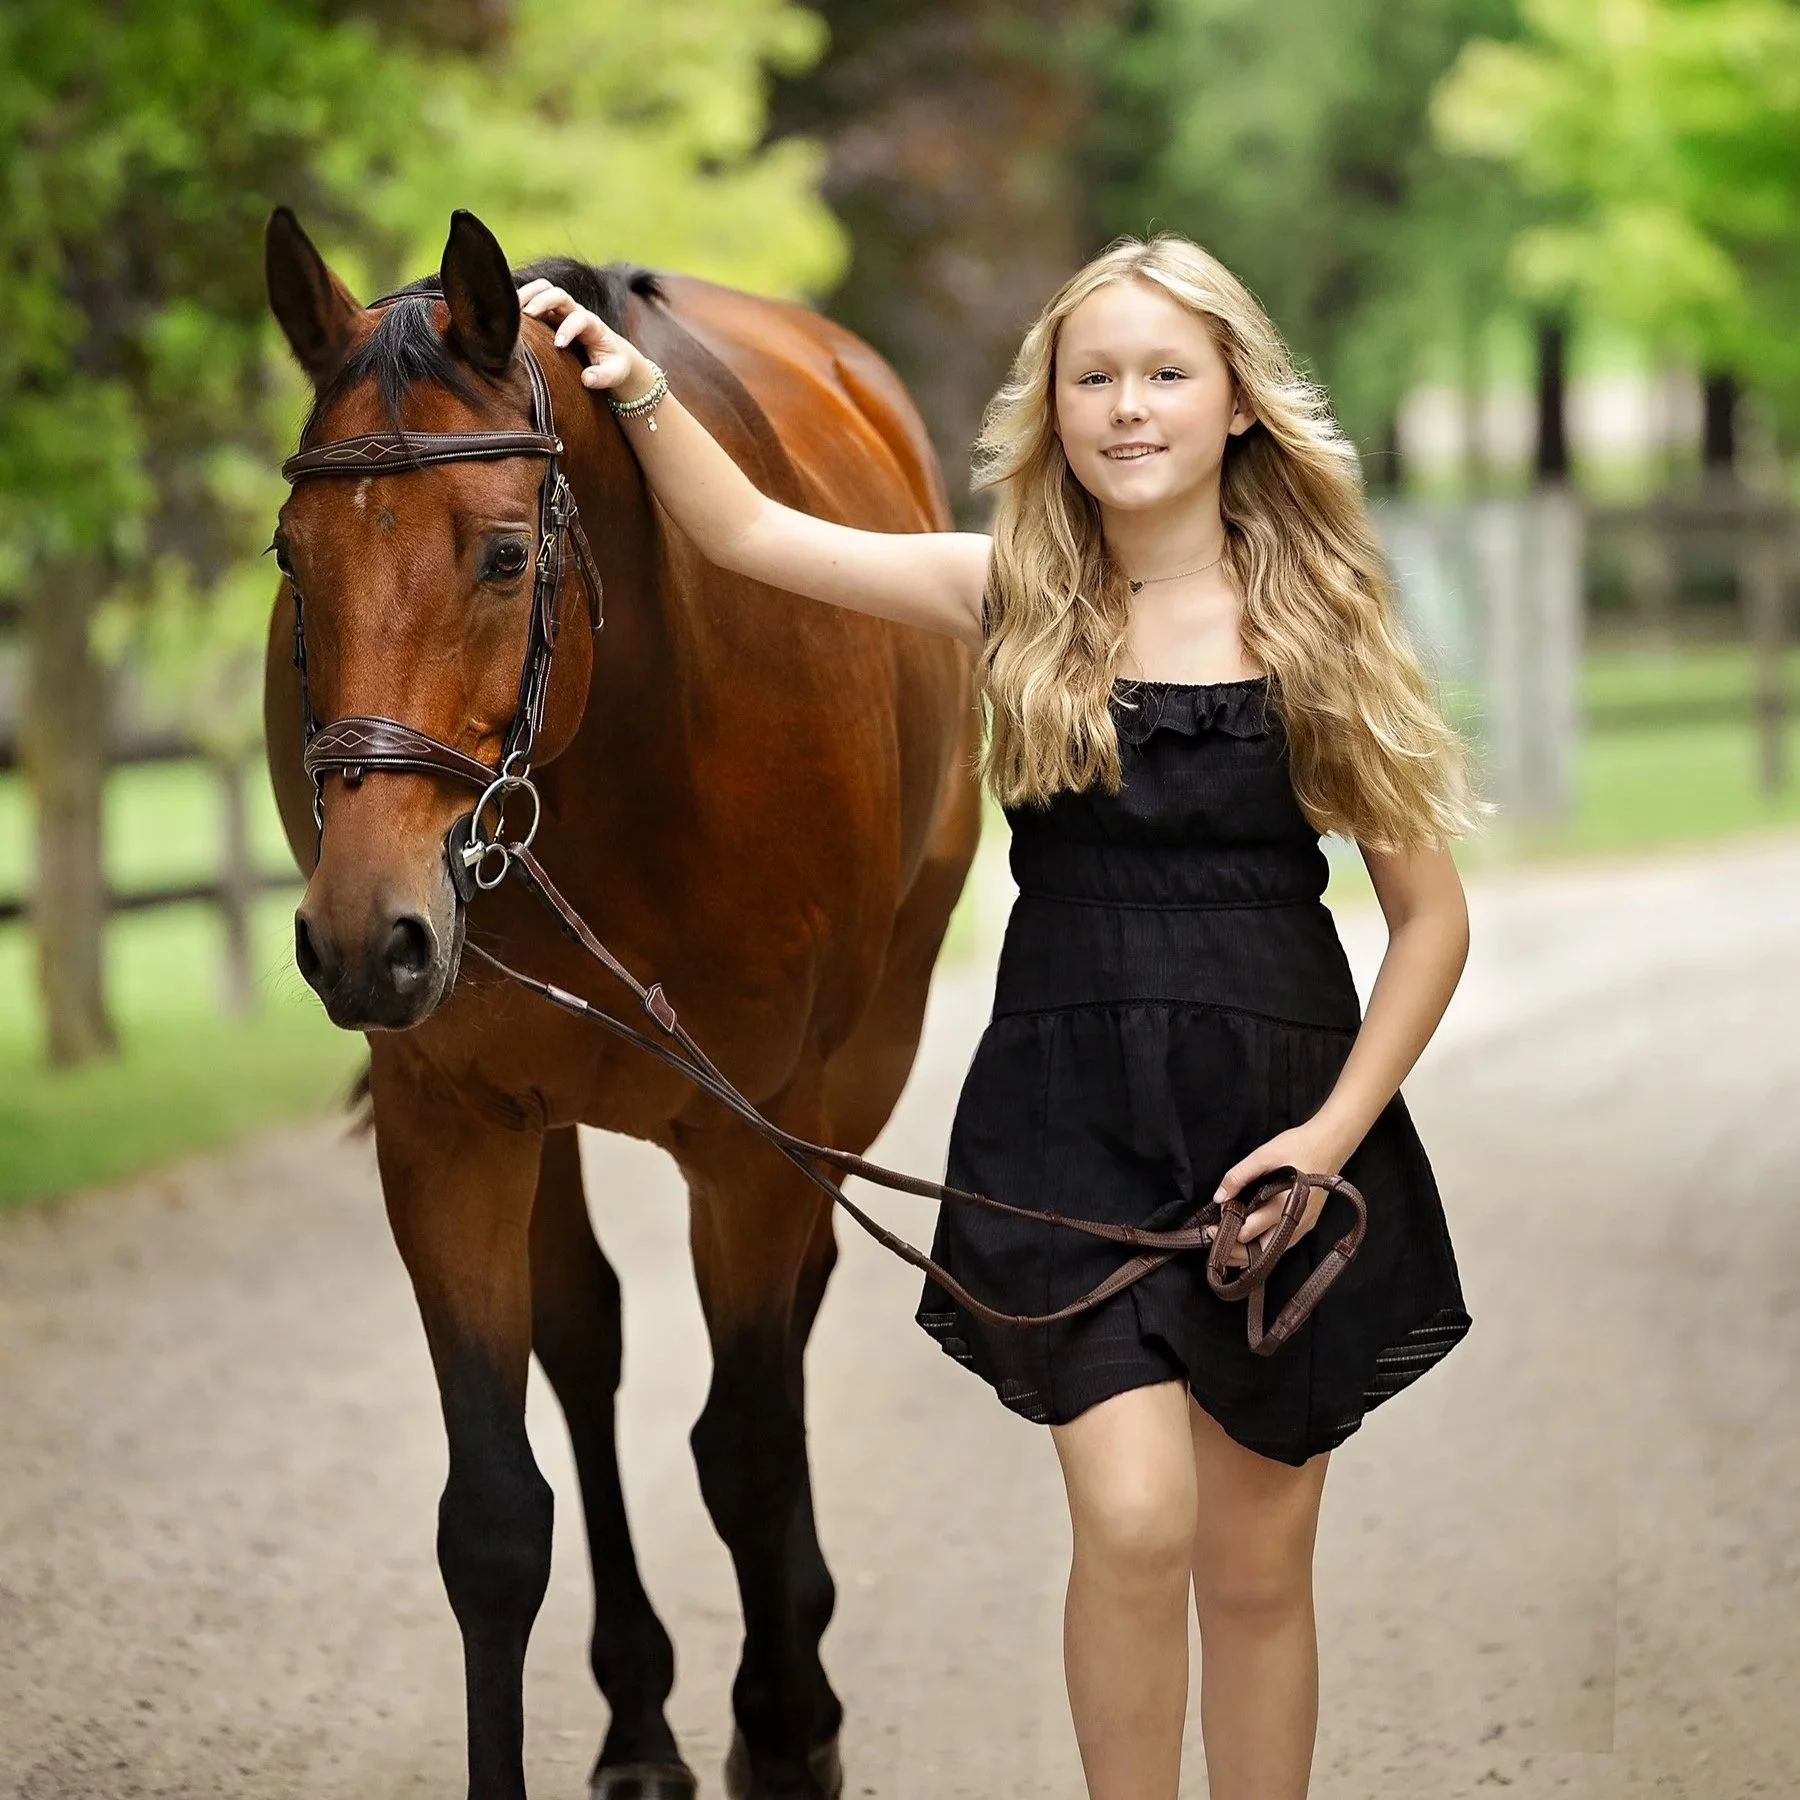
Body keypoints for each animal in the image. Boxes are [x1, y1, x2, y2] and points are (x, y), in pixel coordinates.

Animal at [261, 206, 981, 1800]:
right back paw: (643, 1717)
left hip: (860, 1063)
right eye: (290, 559)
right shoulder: (453, 1124)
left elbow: (748, 1452)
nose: (364, 940)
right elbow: (492, 1520)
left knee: (780, 1343)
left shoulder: (756, 1131)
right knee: (587, 1342)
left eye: (503, 554)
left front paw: (786, 1733)